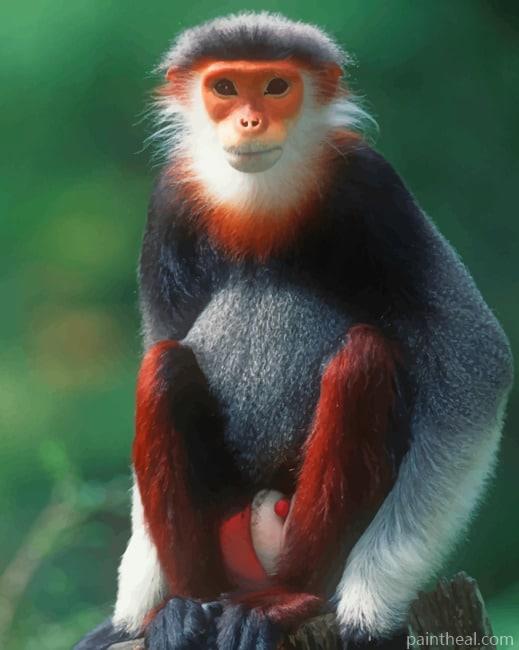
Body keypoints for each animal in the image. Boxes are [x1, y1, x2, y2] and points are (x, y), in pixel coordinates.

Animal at [74, 12, 513, 650]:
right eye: (225, 87)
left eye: (276, 86)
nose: (249, 120)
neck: (261, 197)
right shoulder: (169, 201)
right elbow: (160, 336)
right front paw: (133, 612)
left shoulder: (373, 184)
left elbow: (477, 360)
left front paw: (368, 607)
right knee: (162, 364)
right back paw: (186, 607)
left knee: (363, 356)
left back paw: (291, 599)